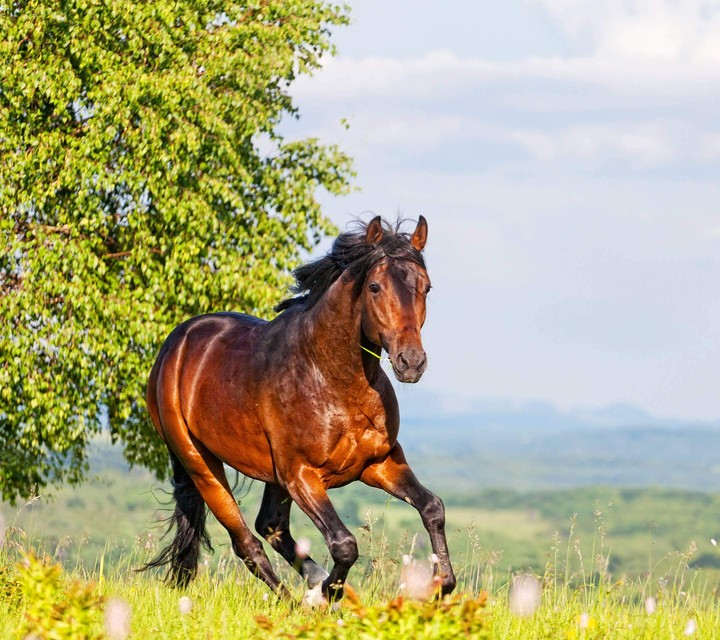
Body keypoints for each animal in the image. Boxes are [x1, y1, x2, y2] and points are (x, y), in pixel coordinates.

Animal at [143, 215, 456, 602]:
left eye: (425, 287)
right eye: (375, 287)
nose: (411, 362)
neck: (332, 379)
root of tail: (174, 345)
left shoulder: (380, 463)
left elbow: (432, 508)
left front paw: (442, 585)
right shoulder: (302, 476)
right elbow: (344, 544)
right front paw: (329, 595)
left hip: (273, 474)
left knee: (270, 526)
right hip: (200, 464)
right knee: (247, 542)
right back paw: (298, 600)